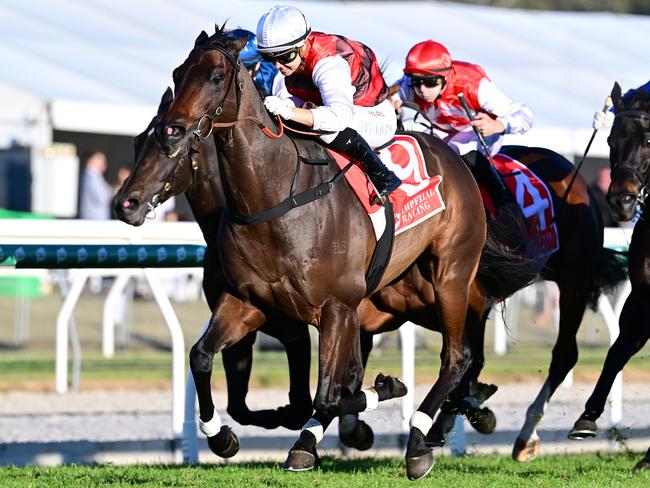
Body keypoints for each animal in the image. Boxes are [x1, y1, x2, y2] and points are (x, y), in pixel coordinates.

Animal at [153, 27, 486, 480]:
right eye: (178, 72)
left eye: (217, 77)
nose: (171, 131)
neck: (276, 198)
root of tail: (456, 157)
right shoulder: (247, 302)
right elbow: (201, 356)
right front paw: (220, 436)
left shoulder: (337, 307)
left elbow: (327, 395)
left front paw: (386, 387)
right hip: (405, 291)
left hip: (450, 275)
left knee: (457, 357)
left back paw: (418, 441)